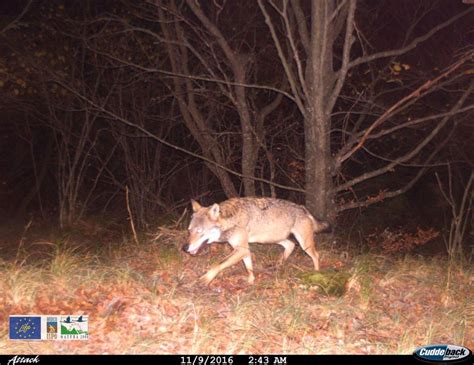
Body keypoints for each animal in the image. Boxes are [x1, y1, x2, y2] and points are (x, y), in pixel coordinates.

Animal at [181, 196, 330, 284]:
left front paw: (205, 279)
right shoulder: (244, 249)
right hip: (273, 239)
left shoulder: (241, 249)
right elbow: (249, 268)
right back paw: (278, 265)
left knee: (316, 255)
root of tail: (304, 208)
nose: (184, 248)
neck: (231, 220)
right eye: (189, 231)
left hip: (304, 245)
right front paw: (251, 281)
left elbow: (217, 264)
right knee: (291, 245)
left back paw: (317, 274)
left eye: (200, 232)